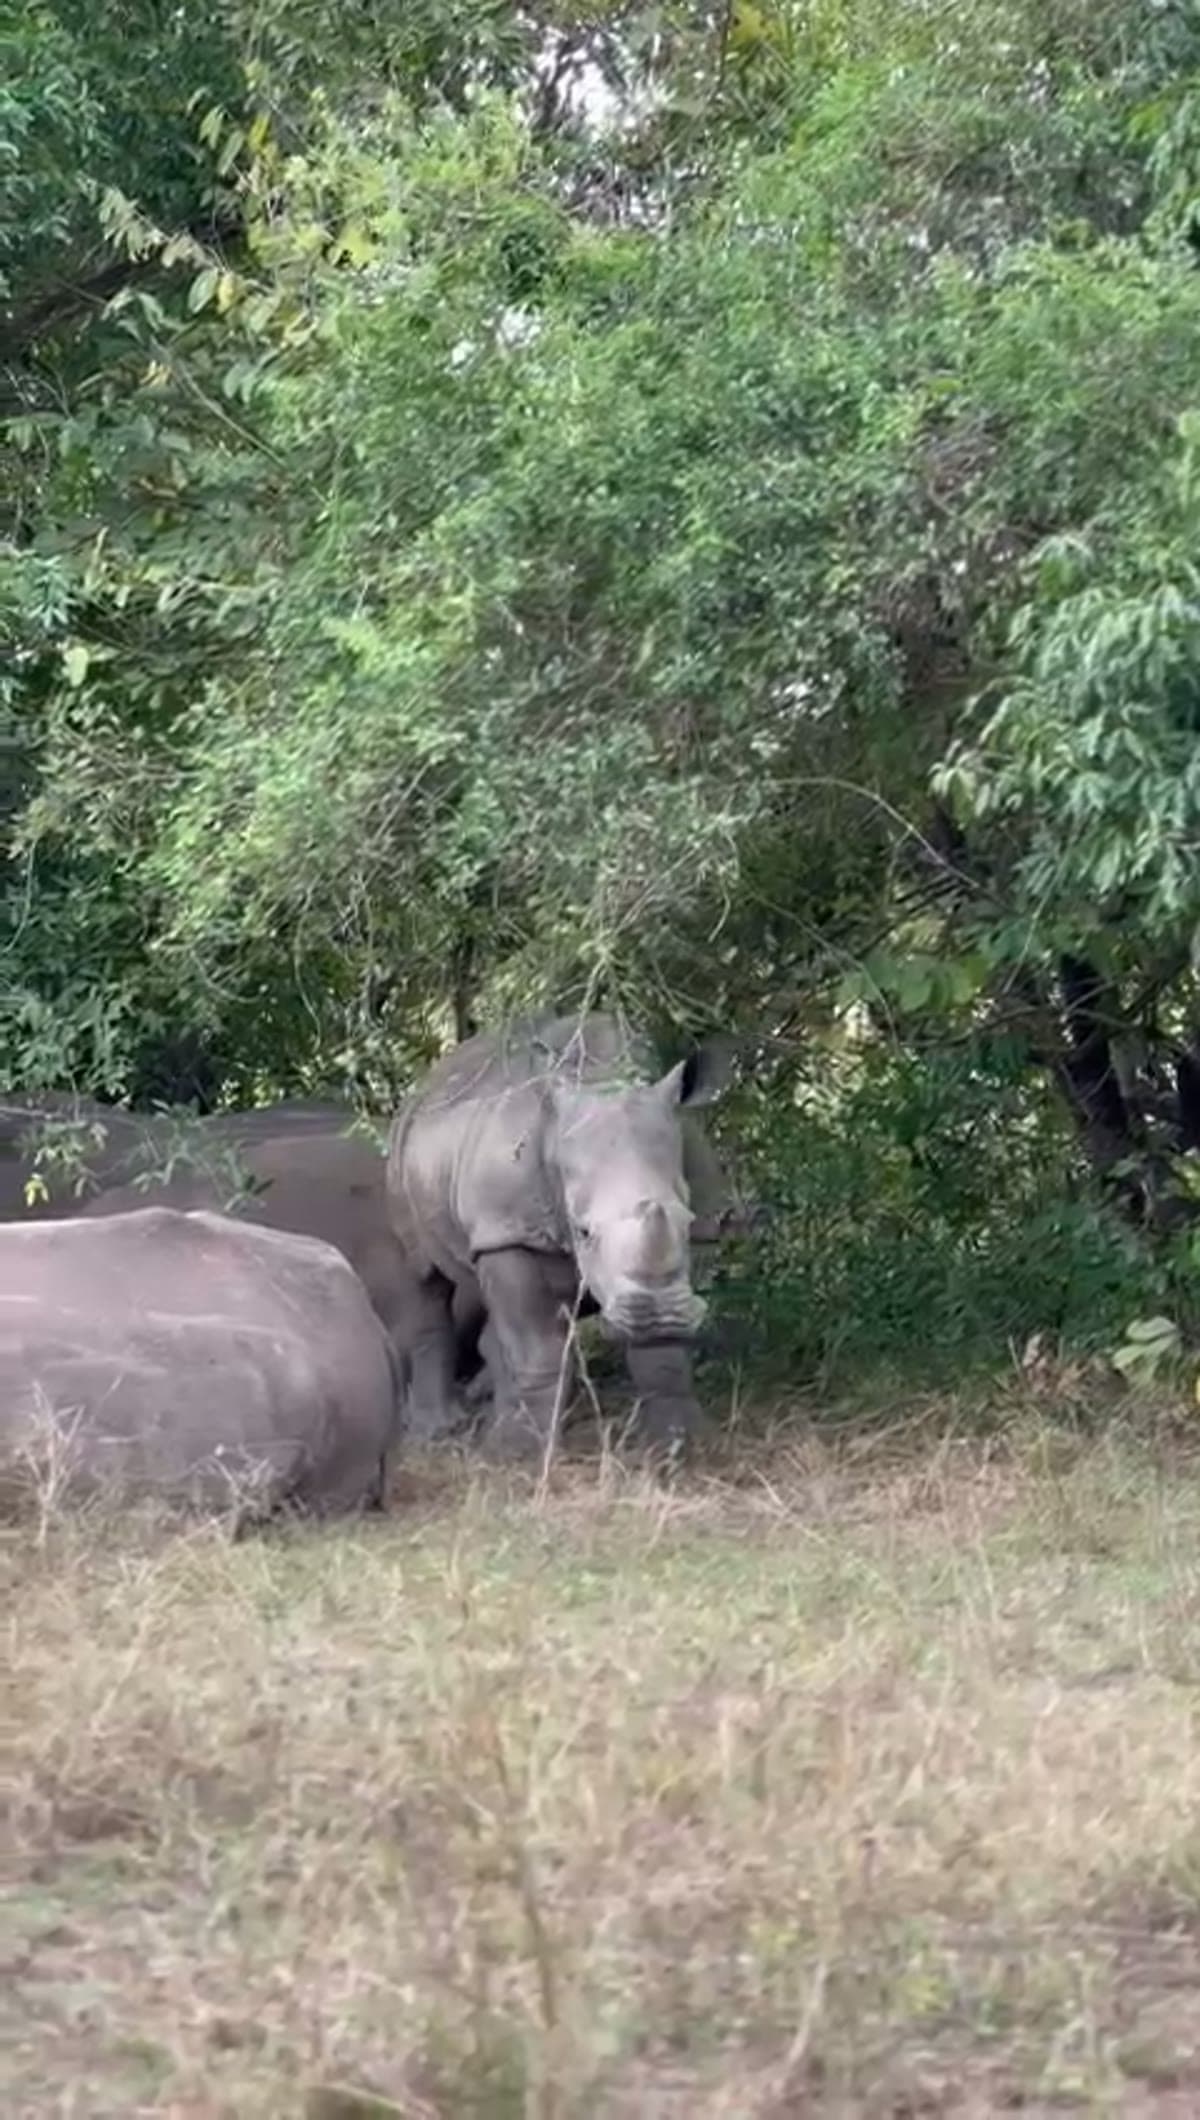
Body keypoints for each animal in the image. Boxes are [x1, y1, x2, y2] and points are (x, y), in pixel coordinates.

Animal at [386, 1012, 734, 1457]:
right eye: (583, 1231)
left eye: (687, 1221)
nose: (656, 1315)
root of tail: (428, 1083)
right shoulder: (508, 1230)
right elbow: (534, 1344)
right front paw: (521, 1453)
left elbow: (664, 1354)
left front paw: (679, 1442)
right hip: (402, 1154)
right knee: (425, 1279)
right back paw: (441, 1430)